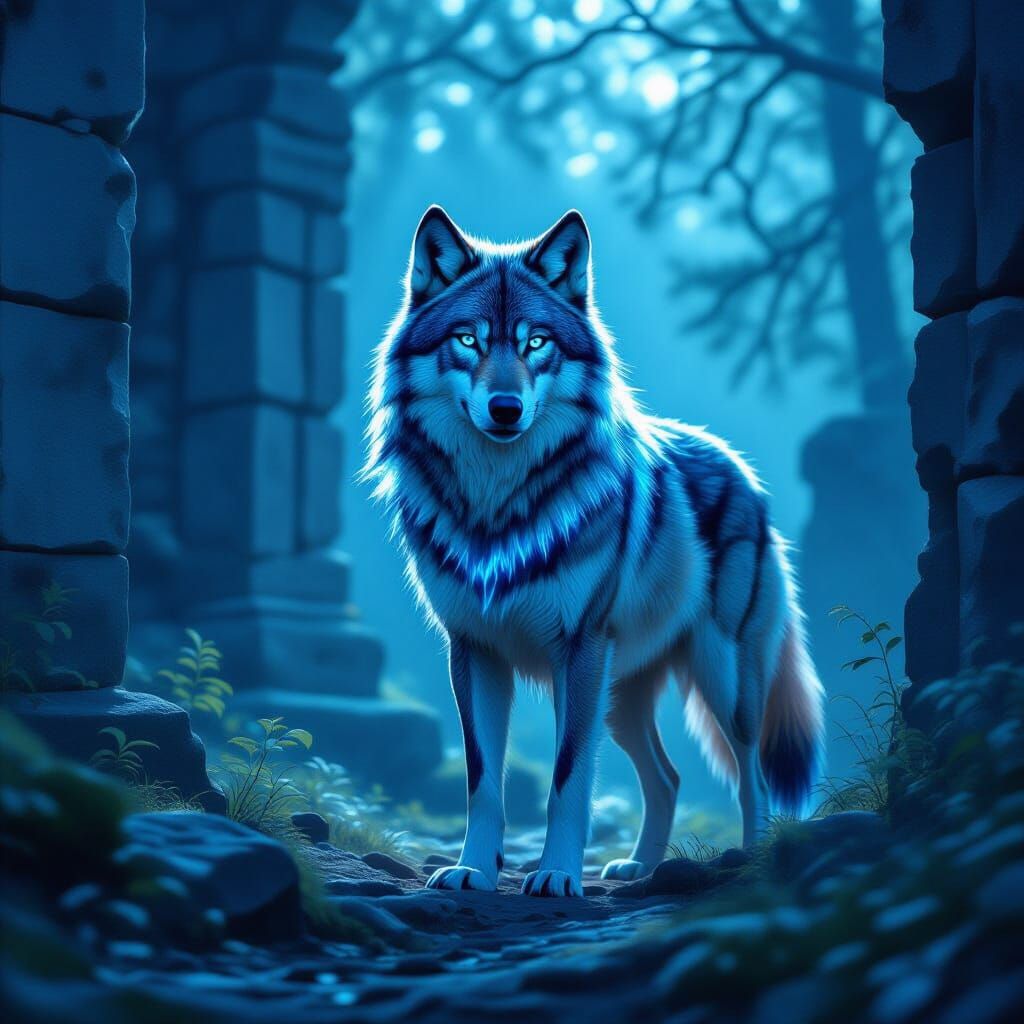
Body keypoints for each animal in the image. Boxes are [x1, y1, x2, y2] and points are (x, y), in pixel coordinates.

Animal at [363, 207, 825, 897]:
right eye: (469, 341)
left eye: (536, 343)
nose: (506, 409)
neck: (497, 505)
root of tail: (738, 466)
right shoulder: (473, 650)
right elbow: (483, 782)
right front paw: (473, 869)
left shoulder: (576, 651)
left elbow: (567, 778)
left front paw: (556, 874)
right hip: (622, 699)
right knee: (668, 777)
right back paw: (641, 867)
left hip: (718, 679)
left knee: (753, 772)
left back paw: (750, 857)